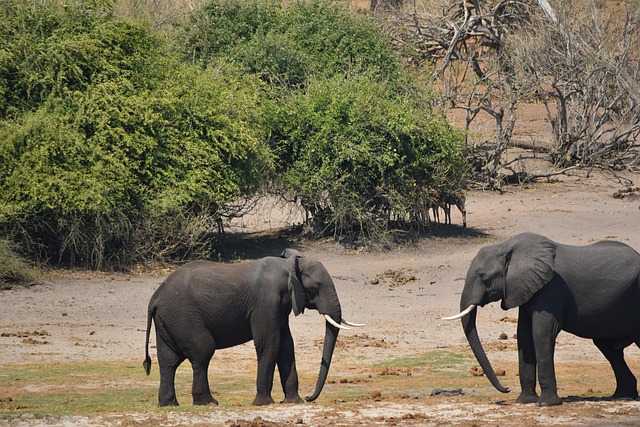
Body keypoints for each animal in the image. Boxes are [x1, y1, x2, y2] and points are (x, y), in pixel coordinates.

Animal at [143, 251, 363, 406]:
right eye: (315, 287)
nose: (310, 397)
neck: (288, 265)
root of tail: (155, 297)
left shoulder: (280, 305)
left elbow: (286, 345)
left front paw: (294, 402)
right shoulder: (266, 302)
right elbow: (270, 343)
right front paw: (263, 404)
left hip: (170, 321)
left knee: (169, 361)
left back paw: (169, 404)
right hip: (183, 316)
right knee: (203, 351)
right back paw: (208, 403)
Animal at [444, 232, 640, 406]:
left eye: (483, 276)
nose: (506, 389)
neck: (506, 247)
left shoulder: (551, 287)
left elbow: (541, 332)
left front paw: (546, 404)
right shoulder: (526, 288)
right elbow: (524, 335)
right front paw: (525, 401)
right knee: (608, 348)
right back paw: (623, 396)